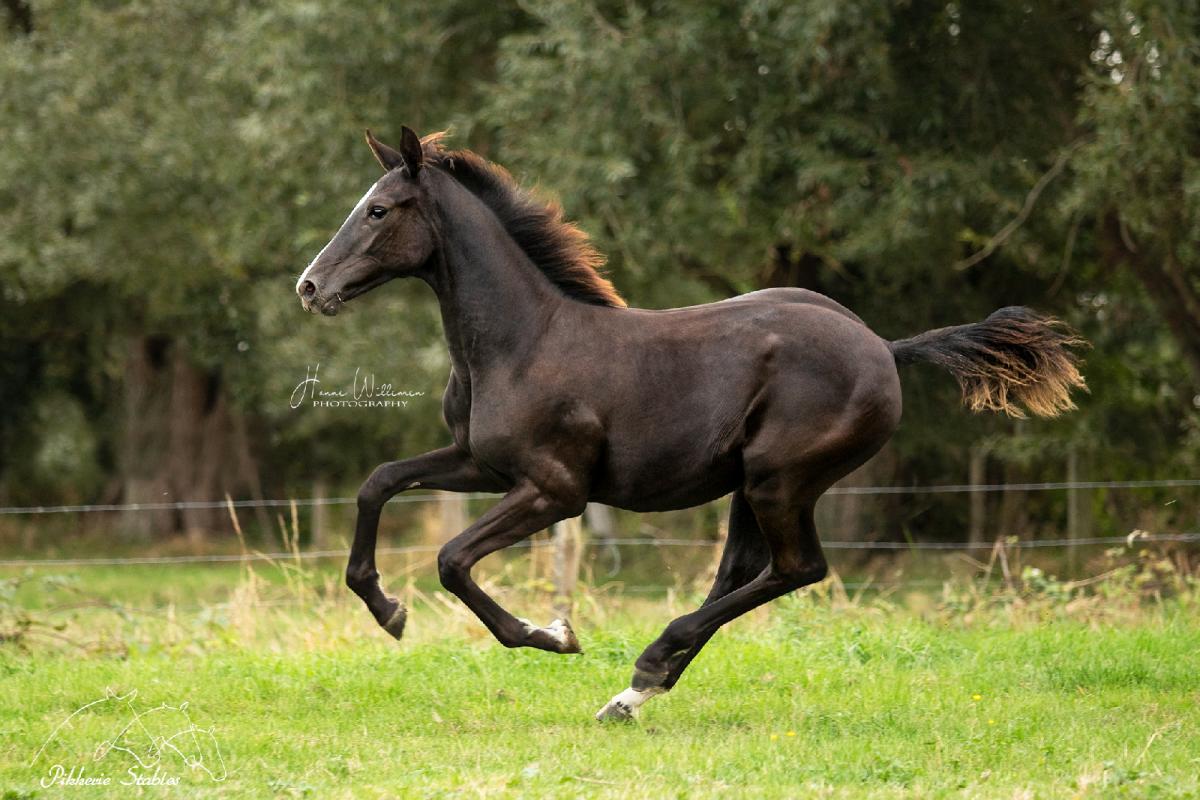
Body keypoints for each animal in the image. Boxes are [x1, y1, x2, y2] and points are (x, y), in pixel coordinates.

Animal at [295, 127, 1086, 721]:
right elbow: (377, 484)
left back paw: (646, 667)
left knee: (797, 568)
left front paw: (552, 633)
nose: (310, 287)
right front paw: (386, 609)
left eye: (378, 210)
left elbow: (452, 559)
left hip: (779, 481)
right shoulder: (480, 464)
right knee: (743, 570)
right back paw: (635, 692)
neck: (523, 340)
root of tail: (884, 348)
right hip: (749, 485)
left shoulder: (554, 491)